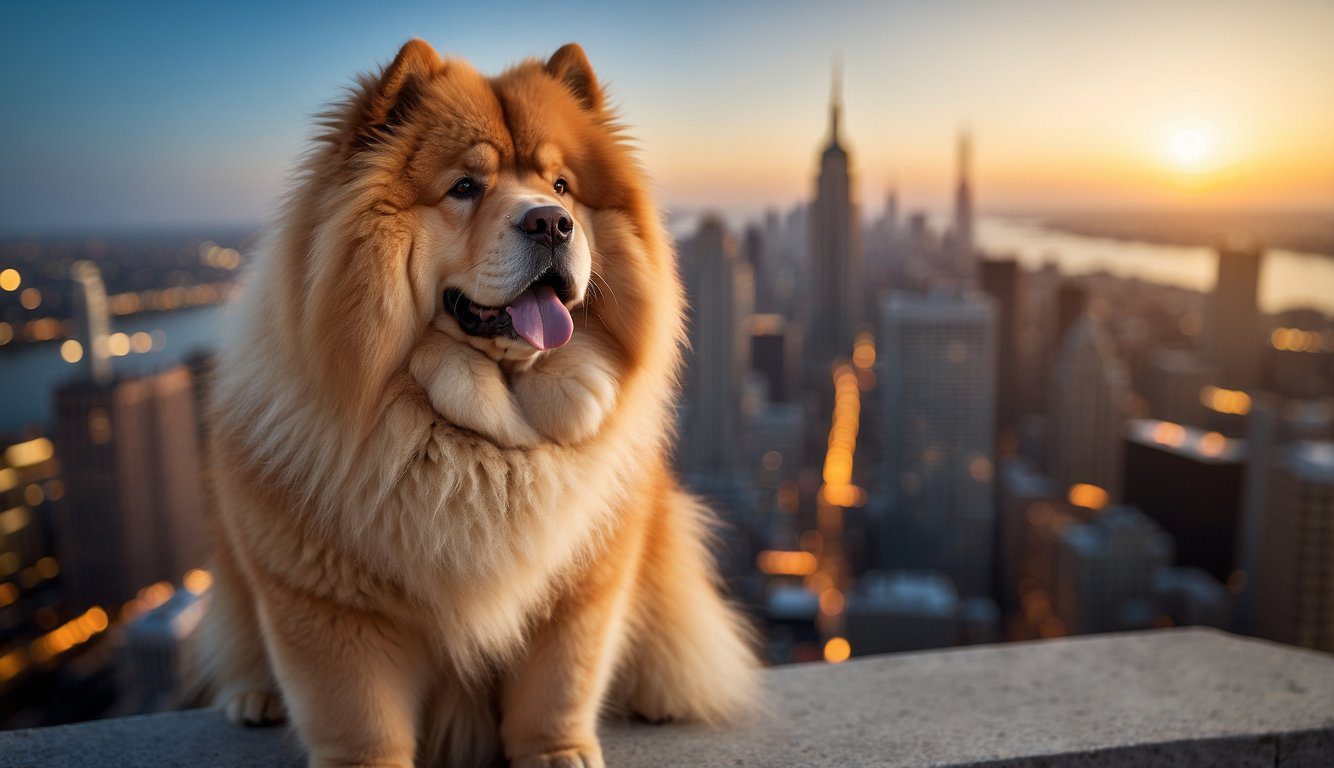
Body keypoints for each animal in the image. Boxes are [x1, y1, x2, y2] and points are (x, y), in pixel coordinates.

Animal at [194, 40, 763, 768]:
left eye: (561, 186)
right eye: (465, 187)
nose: (551, 223)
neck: (487, 436)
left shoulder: (583, 585)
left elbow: (561, 679)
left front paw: (558, 752)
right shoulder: (327, 600)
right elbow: (356, 711)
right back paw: (252, 696)